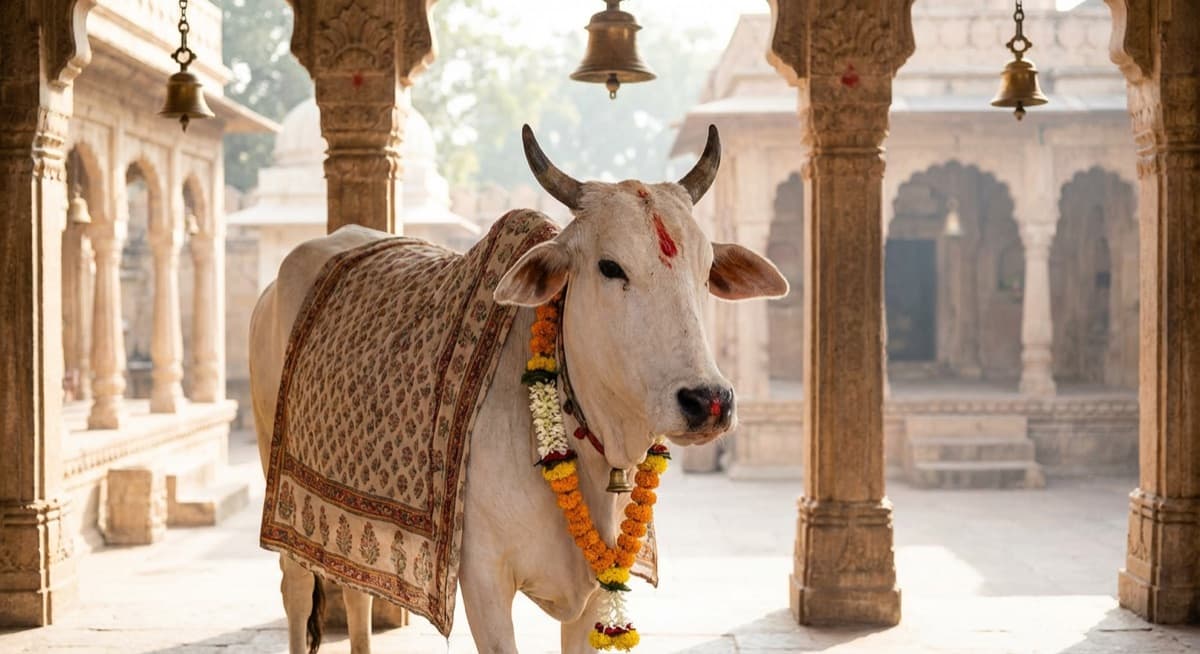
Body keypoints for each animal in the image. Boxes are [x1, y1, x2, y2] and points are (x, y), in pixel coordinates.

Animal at [250, 124, 788, 654]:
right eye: (610, 266)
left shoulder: (594, 589)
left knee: (356, 592)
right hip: (282, 490)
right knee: (296, 588)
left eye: (706, 269)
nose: (709, 401)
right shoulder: (483, 581)